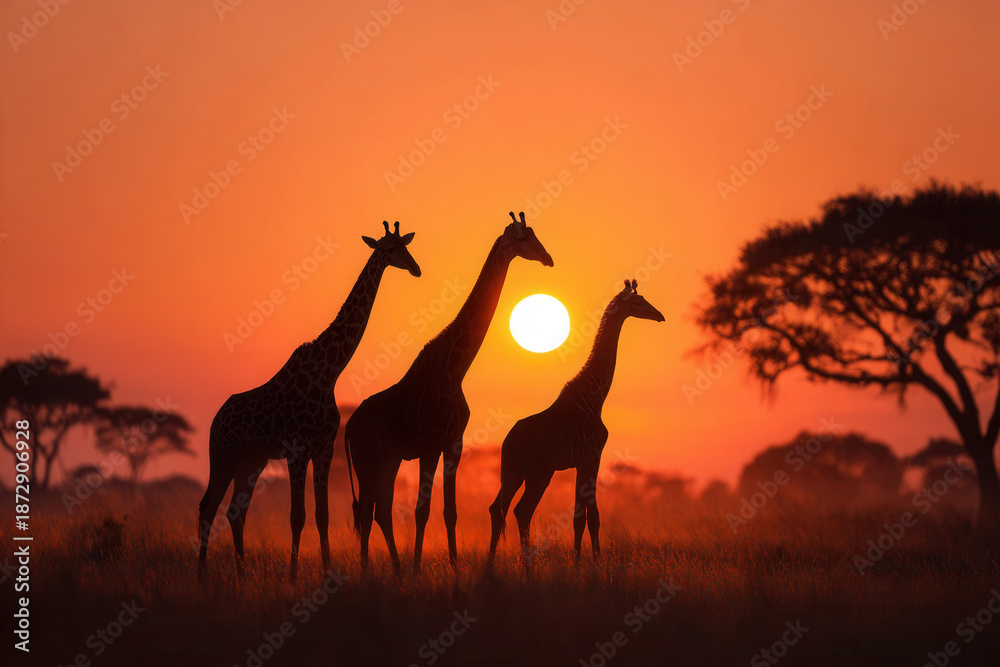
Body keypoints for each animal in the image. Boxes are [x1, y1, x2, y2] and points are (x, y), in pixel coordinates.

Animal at [197, 221, 421, 583]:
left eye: (406, 246)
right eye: (388, 249)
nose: (415, 269)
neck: (329, 371)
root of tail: (216, 420)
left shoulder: (324, 448)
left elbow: (322, 514)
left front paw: (328, 573)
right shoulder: (298, 450)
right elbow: (296, 515)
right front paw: (292, 577)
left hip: (251, 460)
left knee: (234, 512)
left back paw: (242, 576)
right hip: (223, 455)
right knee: (207, 506)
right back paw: (202, 575)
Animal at [344, 211, 553, 576]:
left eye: (534, 234)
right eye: (523, 238)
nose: (548, 258)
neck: (455, 367)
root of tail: (347, 428)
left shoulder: (454, 443)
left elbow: (449, 511)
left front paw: (454, 570)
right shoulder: (429, 444)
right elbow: (421, 509)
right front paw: (417, 571)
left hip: (388, 460)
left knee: (376, 511)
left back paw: (392, 572)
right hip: (367, 459)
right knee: (366, 512)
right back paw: (372, 573)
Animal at [487, 279, 663, 567]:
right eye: (638, 303)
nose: (659, 315)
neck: (595, 398)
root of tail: (506, 443)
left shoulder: (582, 461)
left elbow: (581, 517)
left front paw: (581, 563)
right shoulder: (591, 457)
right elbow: (590, 517)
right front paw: (590, 566)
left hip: (515, 471)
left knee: (501, 509)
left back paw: (495, 569)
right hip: (538, 472)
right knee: (520, 510)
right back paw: (526, 569)